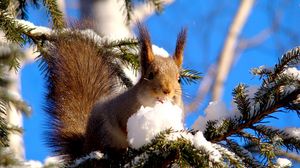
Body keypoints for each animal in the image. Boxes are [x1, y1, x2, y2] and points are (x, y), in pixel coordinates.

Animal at [43, 24, 186, 161]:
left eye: (179, 79)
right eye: (150, 75)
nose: (167, 90)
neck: (153, 106)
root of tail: (85, 147)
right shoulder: (121, 111)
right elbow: (124, 127)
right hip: (104, 133)